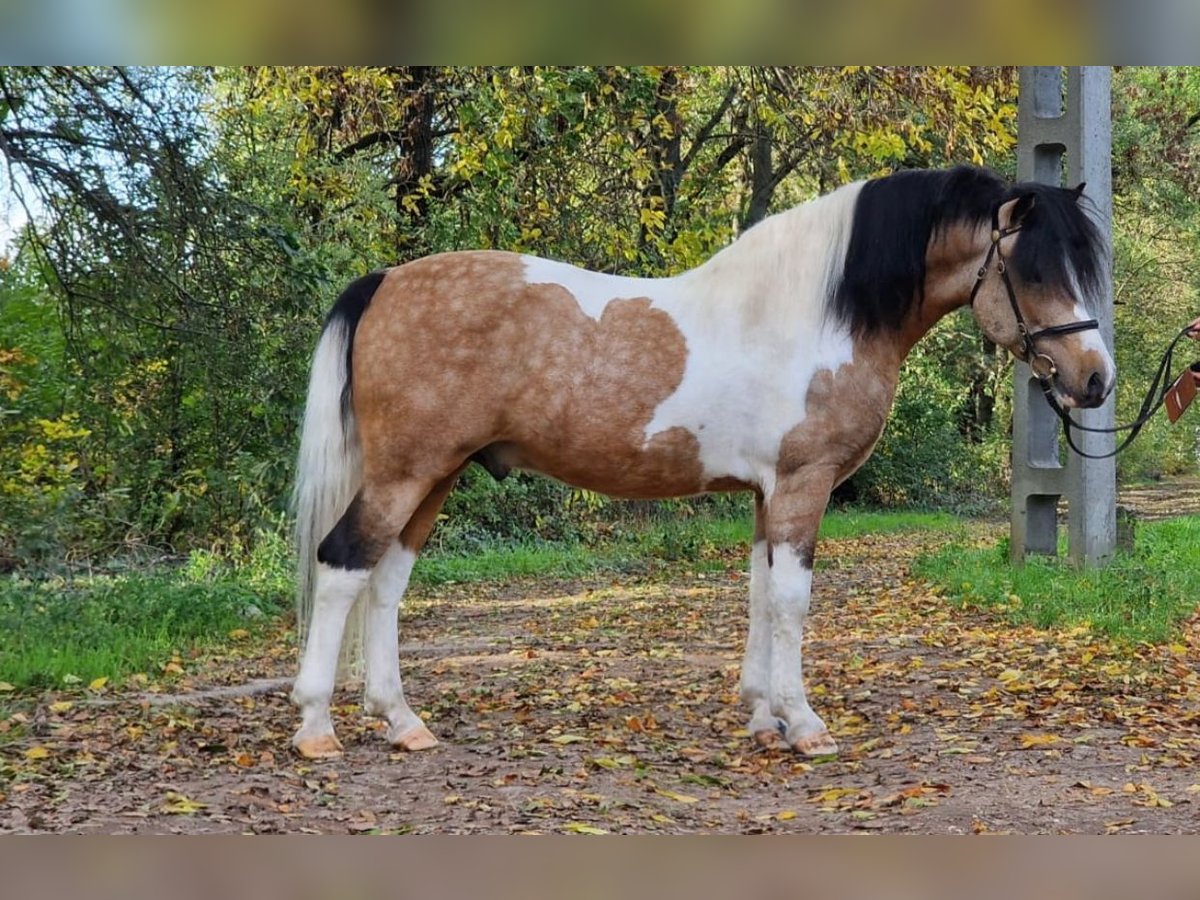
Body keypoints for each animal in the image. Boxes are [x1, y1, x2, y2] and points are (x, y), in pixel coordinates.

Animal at [285, 164, 1108, 763]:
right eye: (1035, 273)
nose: (1096, 380)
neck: (817, 317)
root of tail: (385, 282)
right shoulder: (802, 486)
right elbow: (791, 601)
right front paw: (804, 725)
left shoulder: (767, 494)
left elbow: (759, 594)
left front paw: (762, 717)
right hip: (406, 473)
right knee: (343, 564)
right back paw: (317, 727)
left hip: (436, 474)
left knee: (386, 581)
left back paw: (402, 721)